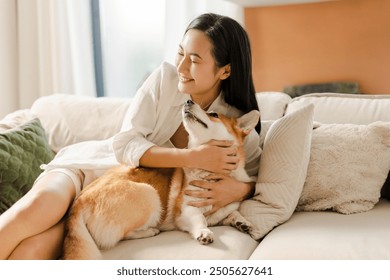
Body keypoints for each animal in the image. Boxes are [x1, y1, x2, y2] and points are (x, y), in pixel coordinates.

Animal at [63, 99, 258, 260]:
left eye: (214, 114)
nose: (188, 100)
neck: (212, 173)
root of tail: (78, 203)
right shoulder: (188, 211)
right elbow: (200, 220)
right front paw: (204, 232)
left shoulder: (223, 209)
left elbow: (232, 212)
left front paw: (243, 223)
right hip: (149, 194)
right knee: (121, 236)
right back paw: (150, 231)